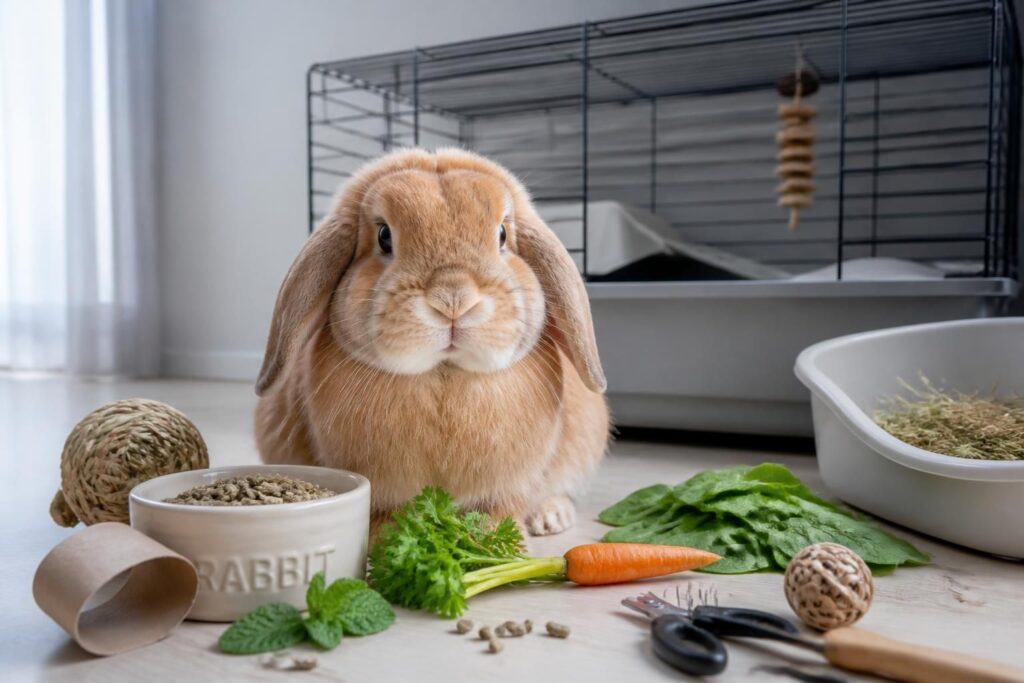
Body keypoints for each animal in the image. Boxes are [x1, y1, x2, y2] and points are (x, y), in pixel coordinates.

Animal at [254, 147, 609, 536]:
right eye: (384, 235)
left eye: (502, 234)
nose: (453, 300)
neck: (444, 373)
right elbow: (383, 518)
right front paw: (389, 539)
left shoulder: (508, 489)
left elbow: (502, 511)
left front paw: (490, 540)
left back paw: (550, 518)